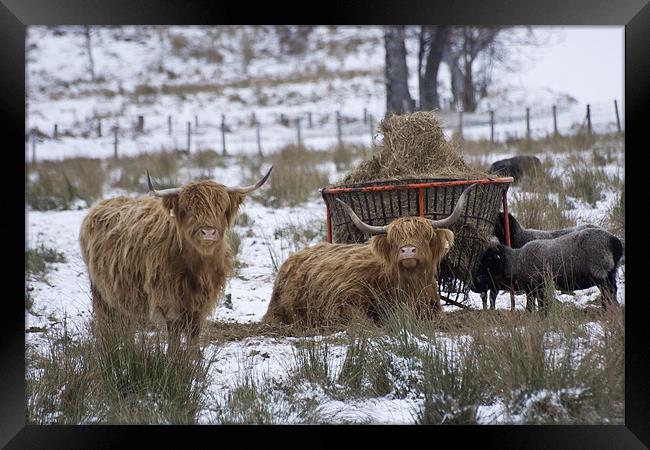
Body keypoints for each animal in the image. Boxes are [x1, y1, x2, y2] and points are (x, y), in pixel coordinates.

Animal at [79, 167, 272, 350]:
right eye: (189, 210)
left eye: (221, 209)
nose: (208, 232)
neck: (198, 267)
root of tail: (101, 205)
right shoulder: (168, 296)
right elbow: (174, 330)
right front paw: (174, 357)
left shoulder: (202, 300)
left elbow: (194, 331)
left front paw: (195, 359)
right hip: (99, 290)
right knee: (105, 320)